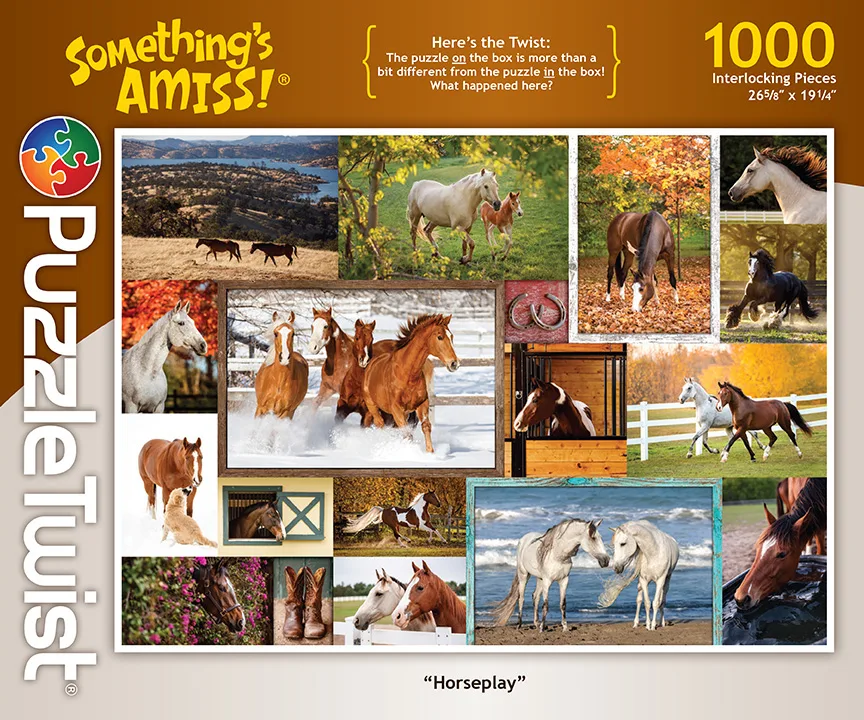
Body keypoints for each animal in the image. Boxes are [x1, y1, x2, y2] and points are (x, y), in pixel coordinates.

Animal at [362, 314, 459, 453]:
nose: (454, 363)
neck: (408, 374)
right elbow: (406, 432)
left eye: (451, 336)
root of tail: (370, 365)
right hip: (373, 406)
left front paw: (430, 452)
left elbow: (426, 426)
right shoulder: (396, 408)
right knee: (380, 423)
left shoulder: (421, 404)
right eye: (440, 337)